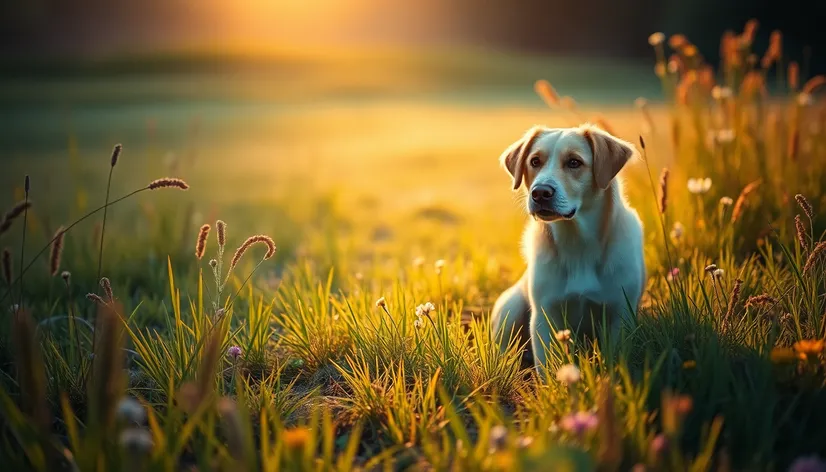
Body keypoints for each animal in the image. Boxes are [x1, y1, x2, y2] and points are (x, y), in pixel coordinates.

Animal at [490, 123, 644, 374]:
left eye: (574, 162)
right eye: (535, 161)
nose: (540, 192)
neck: (577, 243)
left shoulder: (619, 312)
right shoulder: (545, 314)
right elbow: (548, 368)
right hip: (510, 308)